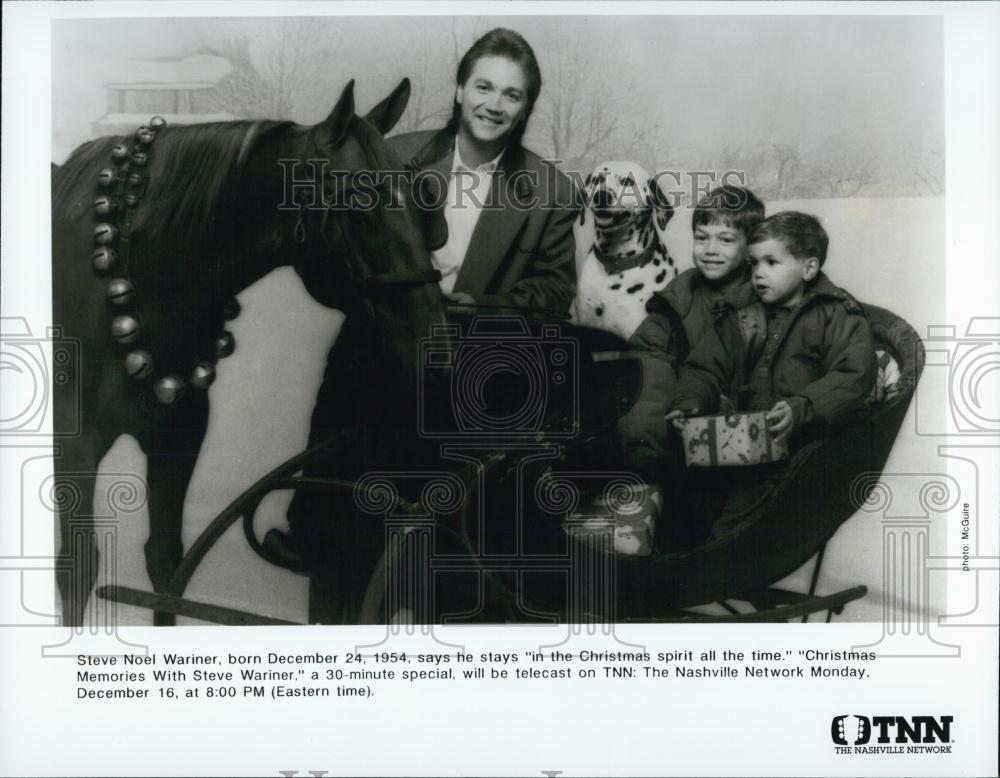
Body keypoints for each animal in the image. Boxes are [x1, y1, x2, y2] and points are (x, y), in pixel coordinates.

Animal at [48, 79, 448, 624]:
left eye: (421, 206)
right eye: (360, 206)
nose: (434, 338)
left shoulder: (178, 438)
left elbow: (167, 567)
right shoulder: (75, 443)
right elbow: (77, 567)